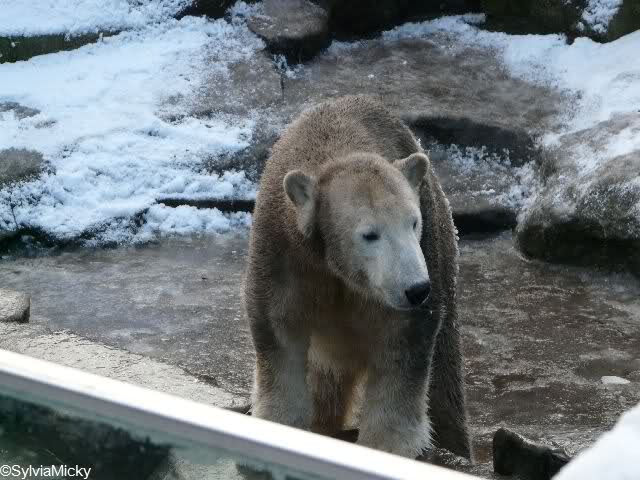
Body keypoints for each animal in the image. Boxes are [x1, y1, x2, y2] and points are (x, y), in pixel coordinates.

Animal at [244, 95, 471, 460]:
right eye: (369, 234)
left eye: (413, 222)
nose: (417, 290)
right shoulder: (283, 255)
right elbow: (279, 339)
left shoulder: (420, 262)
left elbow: (401, 358)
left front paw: (385, 447)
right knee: (325, 382)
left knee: (445, 384)